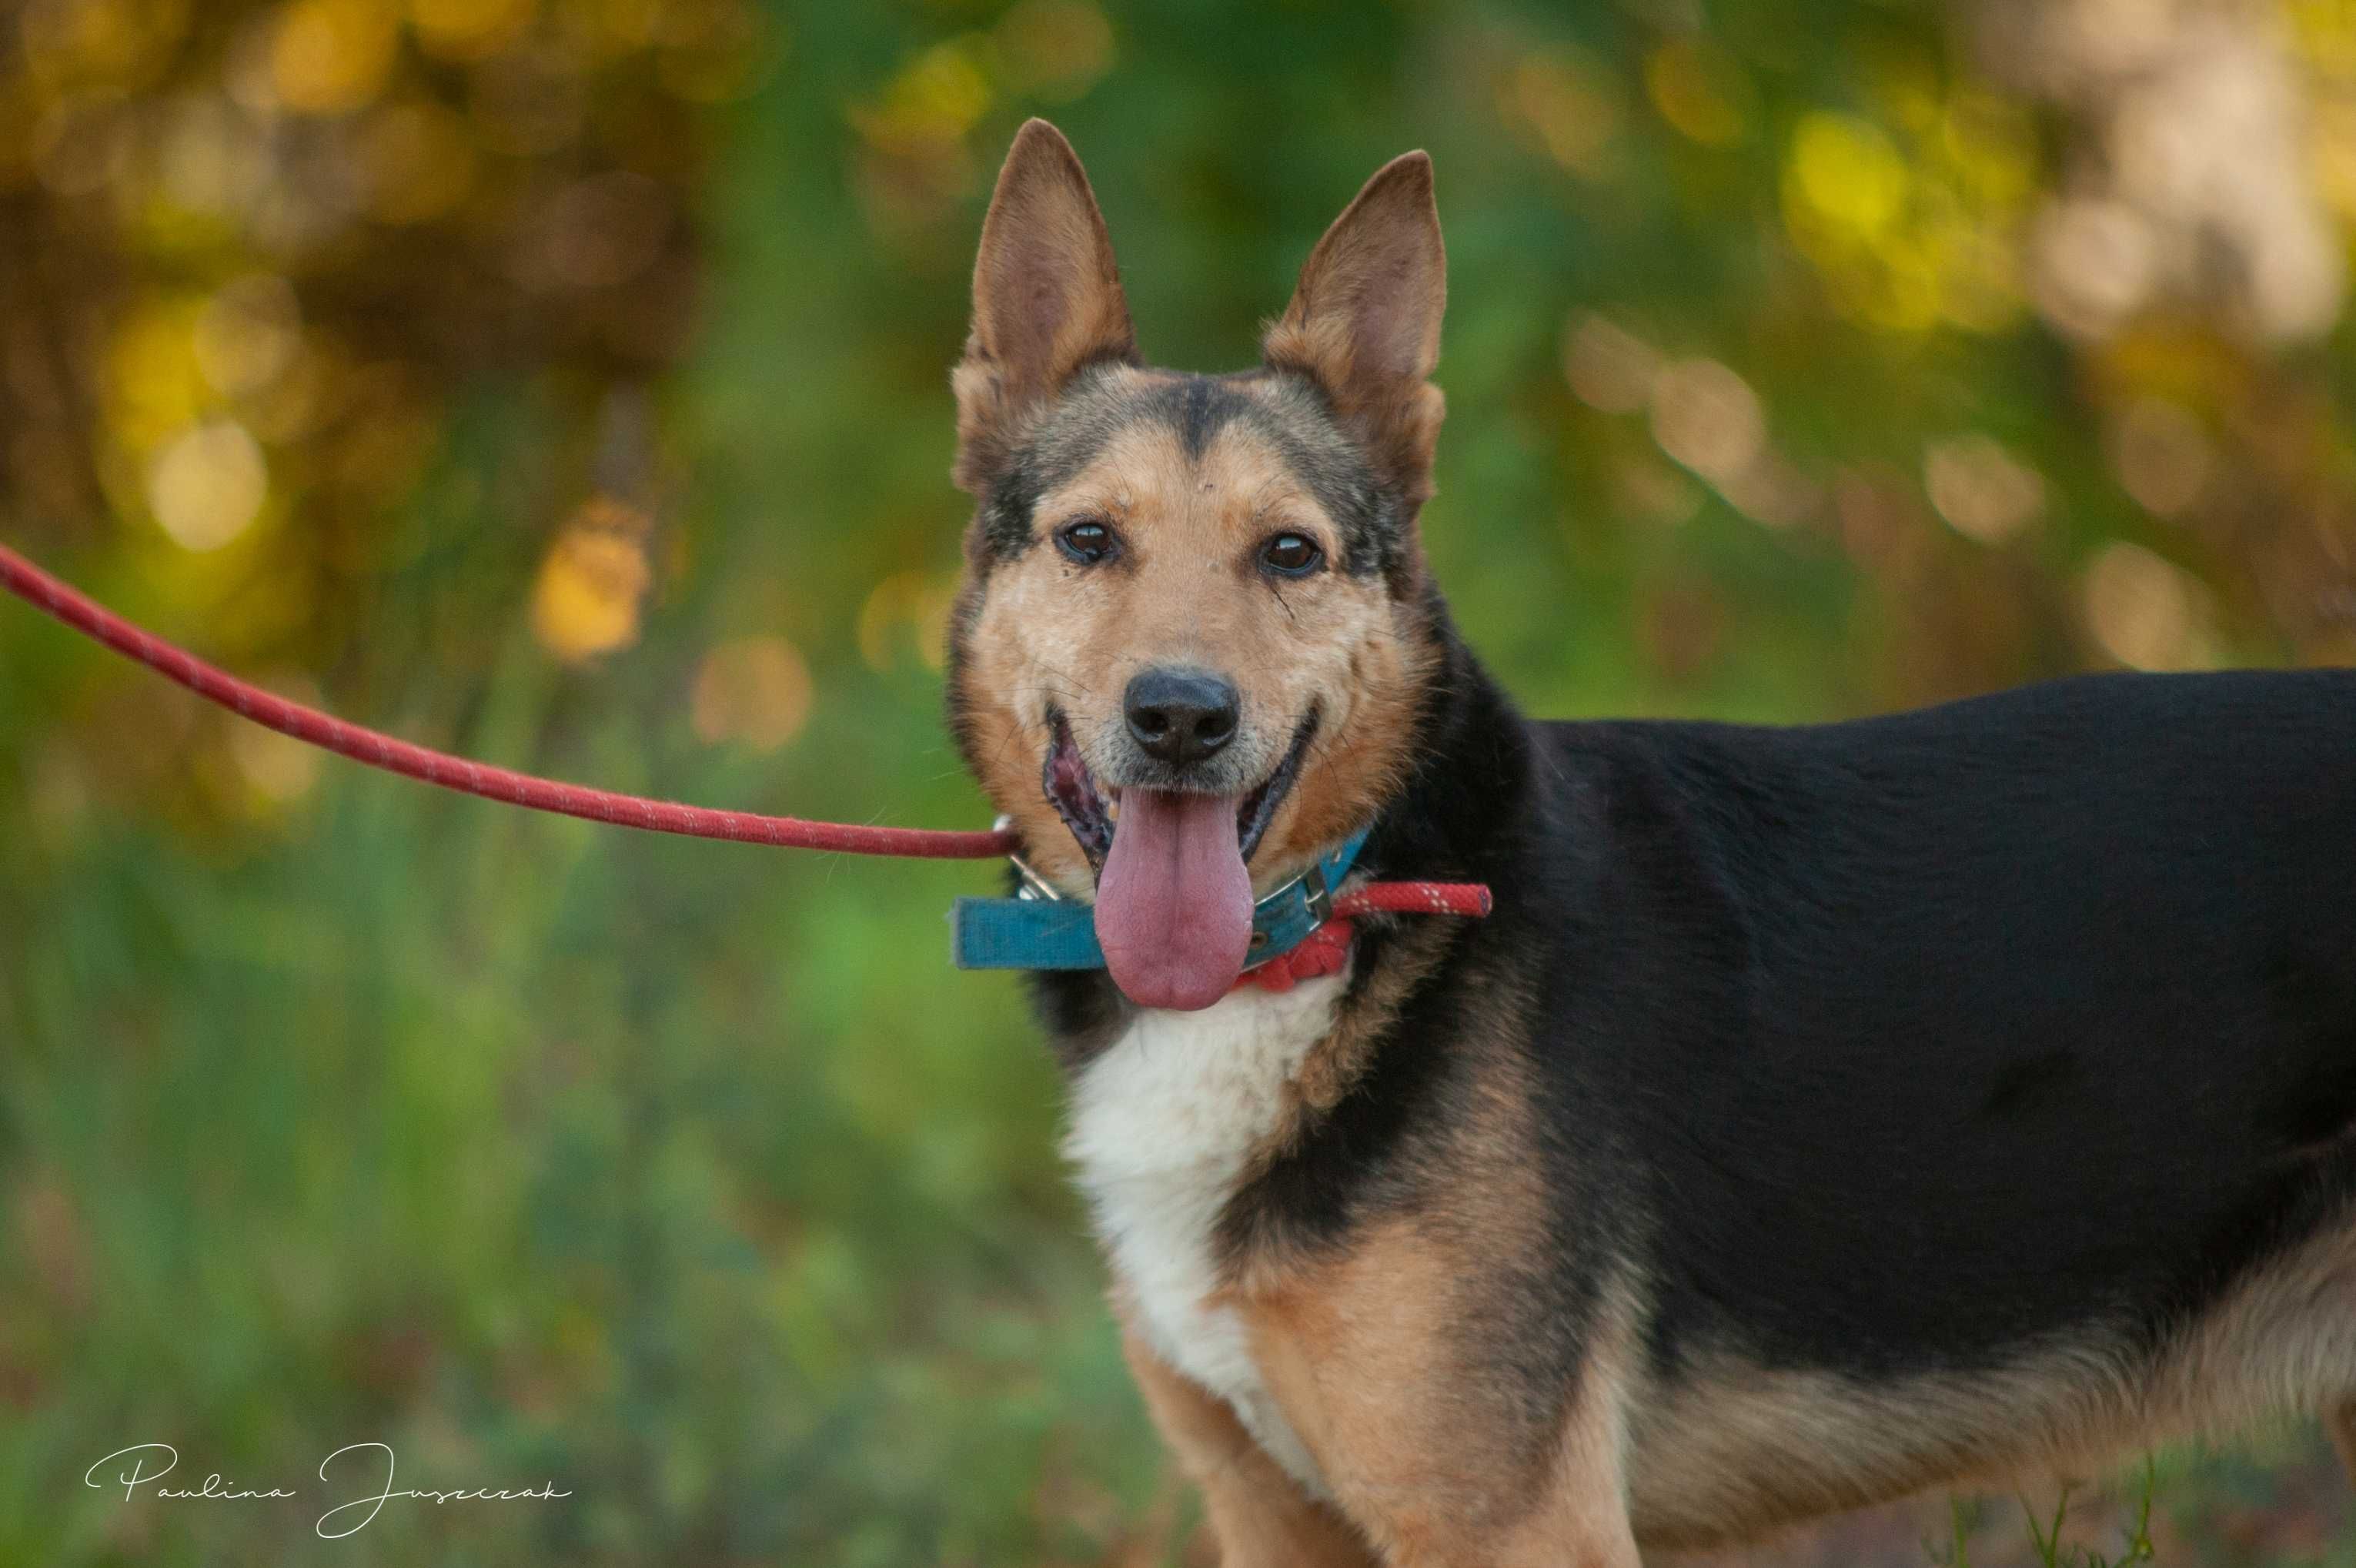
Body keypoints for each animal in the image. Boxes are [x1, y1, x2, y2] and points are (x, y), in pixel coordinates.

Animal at [937, 122, 2356, 1565]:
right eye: (1088, 541)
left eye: (1289, 553)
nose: (1180, 717)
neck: (1321, 932)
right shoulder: (1274, 1515)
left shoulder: (1514, 1522)